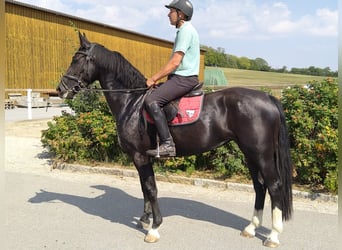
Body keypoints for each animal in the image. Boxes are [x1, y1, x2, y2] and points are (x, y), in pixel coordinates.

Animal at [56, 33, 292, 248]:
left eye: (76, 59)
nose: (60, 89)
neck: (132, 102)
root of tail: (268, 98)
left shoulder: (140, 156)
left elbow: (151, 189)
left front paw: (154, 228)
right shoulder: (141, 158)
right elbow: (144, 187)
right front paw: (145, 219)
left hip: (261, 154)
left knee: (274, 186)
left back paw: (273, 235)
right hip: (250, 154)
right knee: (260, 186)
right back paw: (251, 228)